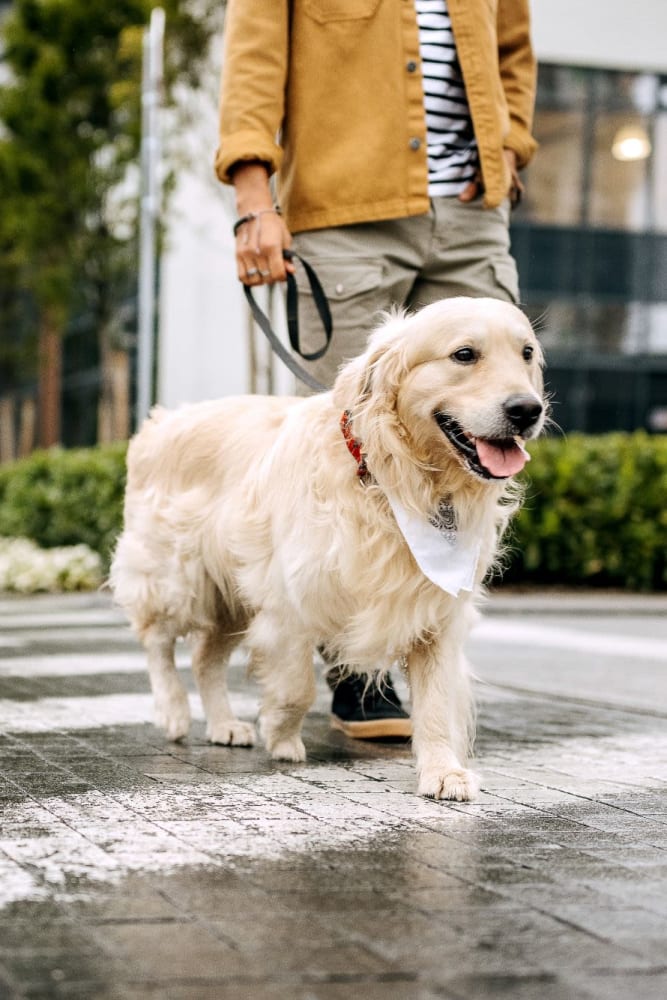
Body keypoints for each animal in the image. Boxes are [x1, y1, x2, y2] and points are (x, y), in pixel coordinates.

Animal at [111, 294, 548, 796]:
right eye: (464, 355)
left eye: (527, 354)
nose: (527, 410)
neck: (390, 479)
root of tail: (161, 419)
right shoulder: (289, 598)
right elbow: (297, 683)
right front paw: (281, 733)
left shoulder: (435, 609)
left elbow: (437, 701)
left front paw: (443, 771)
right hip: (176, 577)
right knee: (158, 643)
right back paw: (173, 710)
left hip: (230, 594)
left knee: (204, 658)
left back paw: (223, 724)